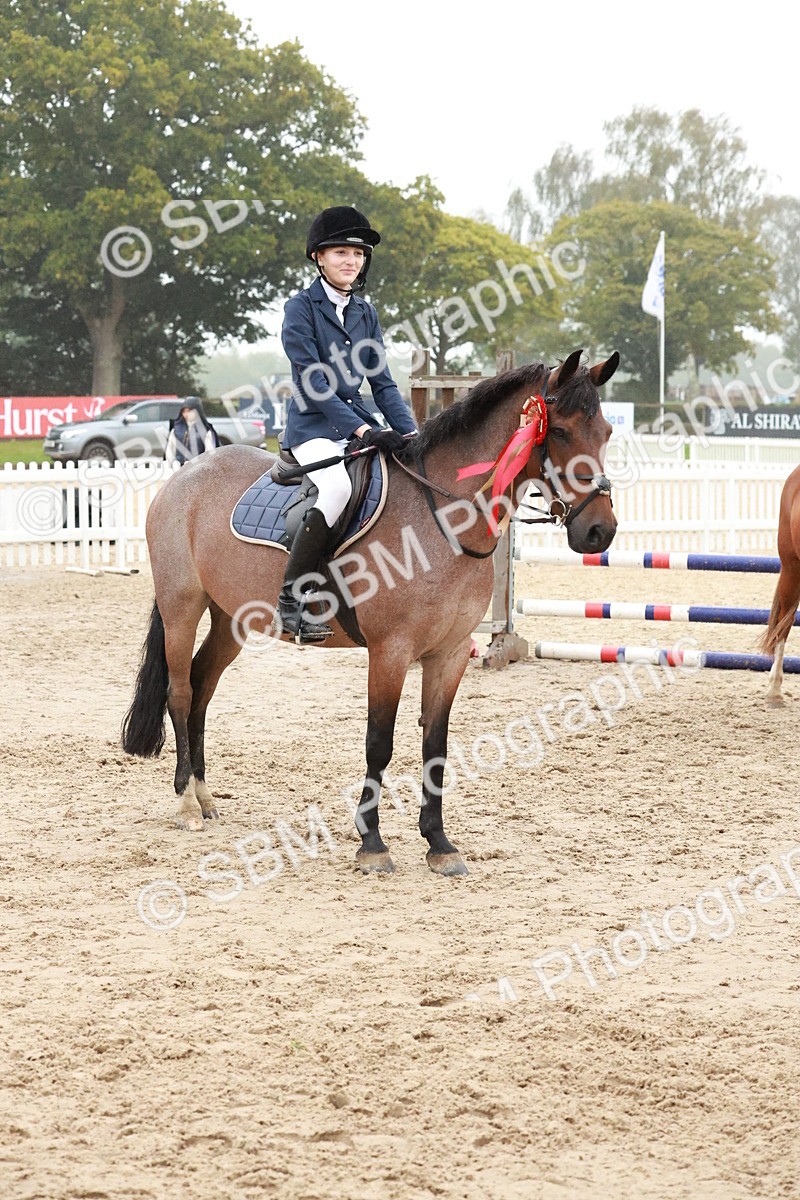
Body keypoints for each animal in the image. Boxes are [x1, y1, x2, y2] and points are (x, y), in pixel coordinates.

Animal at [121, 349, 619, 876]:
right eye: (559, 432)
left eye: (606, 431)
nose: (599, 532)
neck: (441, 517)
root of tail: (184, 473)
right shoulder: (390, 652)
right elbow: (379, 742)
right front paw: (372, 843)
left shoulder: (449, 654)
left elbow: (435, 746)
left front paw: (439, 844)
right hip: (182, 607)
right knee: (179, 691)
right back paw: (186, 805)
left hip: (231, 619)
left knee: (202, 688)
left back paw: (204, 795)